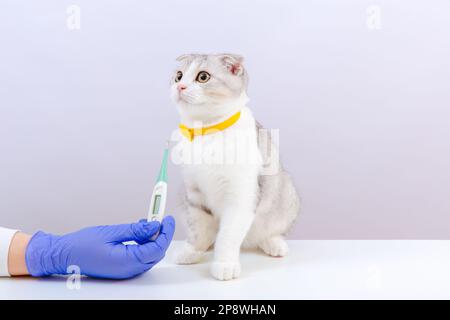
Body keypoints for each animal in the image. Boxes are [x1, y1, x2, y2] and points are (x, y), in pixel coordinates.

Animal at [169, 53, 298, 280]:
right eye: (178, 75)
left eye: (203, 77)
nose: (180, 87)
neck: (207, 132)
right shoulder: (194, 194)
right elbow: (198, 229)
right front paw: (192, 251)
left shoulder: (241, 198)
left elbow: (227, 236)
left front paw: (224, 265)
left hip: (286, 195)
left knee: (268, 231)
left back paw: (273, 243)